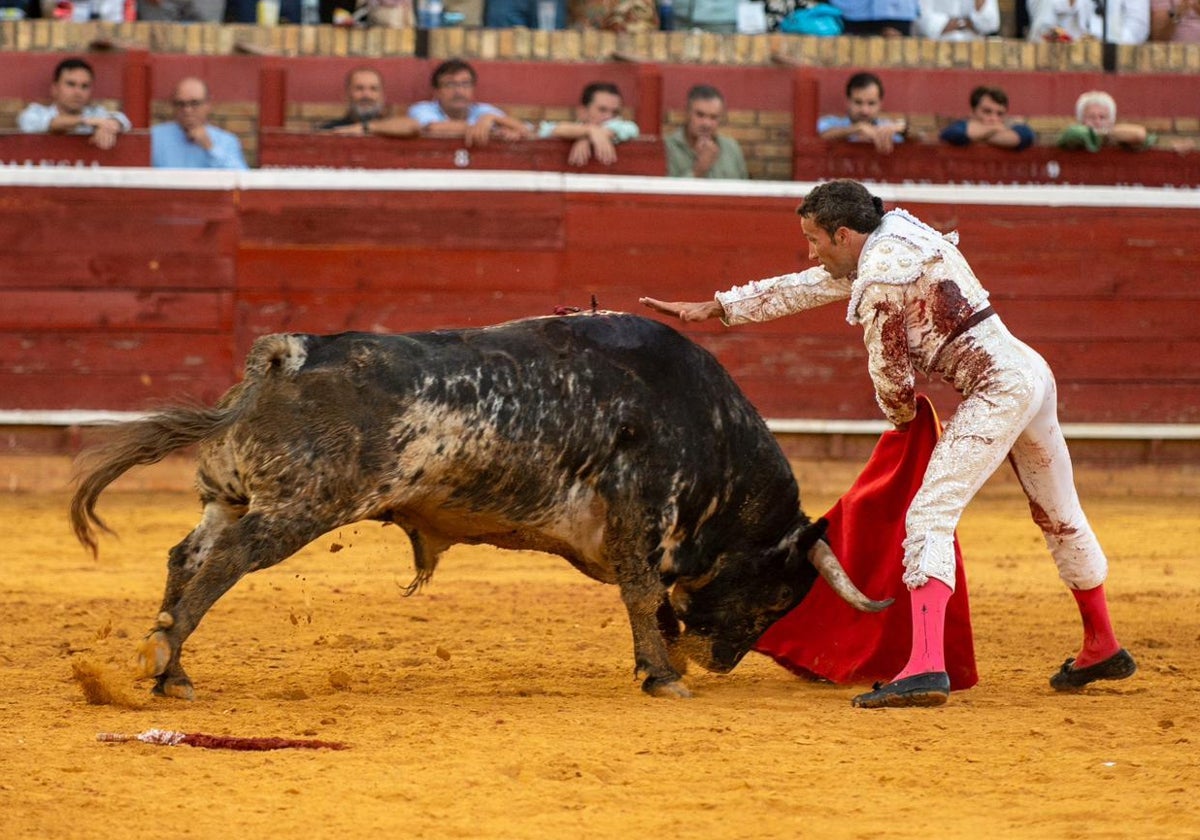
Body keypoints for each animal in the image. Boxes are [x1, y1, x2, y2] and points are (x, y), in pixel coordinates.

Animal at [68, 312, 892, 700]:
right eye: (780, 593)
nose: (722, 661)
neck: (705, 423)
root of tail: (293, 352)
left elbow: (651, 600)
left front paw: (660, 664)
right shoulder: (639, 511)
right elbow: (642, 592)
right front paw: (664, 675)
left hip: (230, 498)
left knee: (187, 557)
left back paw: (169, 669)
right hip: (299, 507)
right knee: (228, 562)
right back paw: (165, 660)